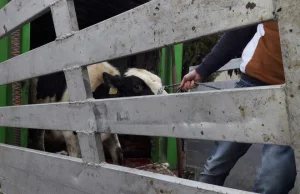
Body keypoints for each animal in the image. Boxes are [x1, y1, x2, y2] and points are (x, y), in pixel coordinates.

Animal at [28, 61, 168, 165]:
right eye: (137, 86)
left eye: (160, 82)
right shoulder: (70, 136)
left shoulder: (110, 134)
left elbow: (118, 155)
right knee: (38, 139)